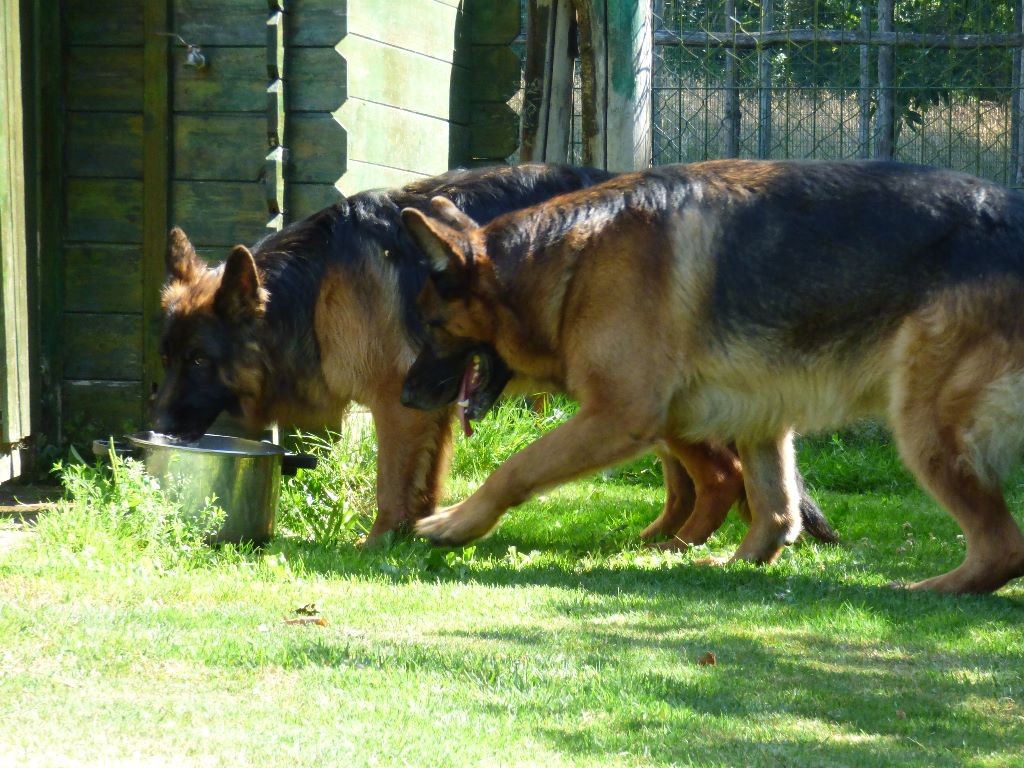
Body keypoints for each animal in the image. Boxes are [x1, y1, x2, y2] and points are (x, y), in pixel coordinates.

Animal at [153, 164, 831, 544]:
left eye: (197, 362)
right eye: (167, 360)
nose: (157, 429)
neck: (314, 287)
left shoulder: (398, 405)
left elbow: (391, 487)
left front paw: (375, 545)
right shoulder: (430, 408)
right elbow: (422, 488)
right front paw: (418, 537)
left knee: (720, 472)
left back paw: (678, 545)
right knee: (697, 475)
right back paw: (660, 537)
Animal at [403, 159, 1024, 593]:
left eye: (431, 324)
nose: (407, 396)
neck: (564, 265)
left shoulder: (618, 415)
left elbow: (516, 468)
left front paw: (455, 524)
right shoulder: (761, 412)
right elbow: (776, 509)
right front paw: (741, 562)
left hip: (927, 428)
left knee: (1002, 548)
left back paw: (931, 588)